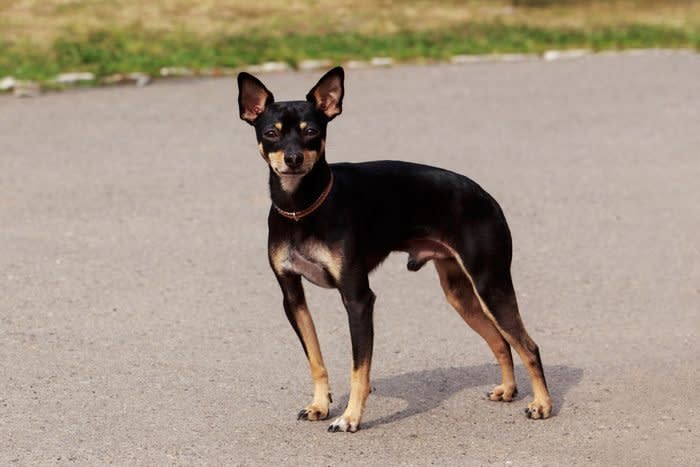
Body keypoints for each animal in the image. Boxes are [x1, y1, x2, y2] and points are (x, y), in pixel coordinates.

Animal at [237, 67, 552, 434]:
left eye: (312, 132)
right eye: (271, 133)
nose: (293, 158)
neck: (302, 209)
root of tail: (486, 197)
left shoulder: (358, 299)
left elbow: (359, 369)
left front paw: (350, 418)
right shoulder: (292, 296)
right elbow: (316, 359)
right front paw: (320, 405)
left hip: (490, 284)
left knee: (528, 345)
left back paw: (542, 404)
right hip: (460, 293)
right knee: (501, 341)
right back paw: (508, 389)